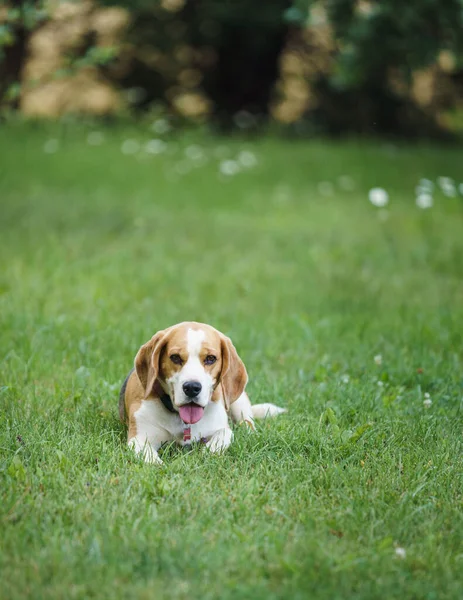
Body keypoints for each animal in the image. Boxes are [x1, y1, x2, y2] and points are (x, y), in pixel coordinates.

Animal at [118, 322, 286, 462]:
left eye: (211, 358)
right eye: (175, 357)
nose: (192, 388)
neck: (182, 422)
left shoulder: (221, 426)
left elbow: (225, 434)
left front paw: (208, 452)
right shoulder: (139, 438)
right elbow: (149, 457)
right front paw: (158, 465)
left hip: (239, 402)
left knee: (248, 424)